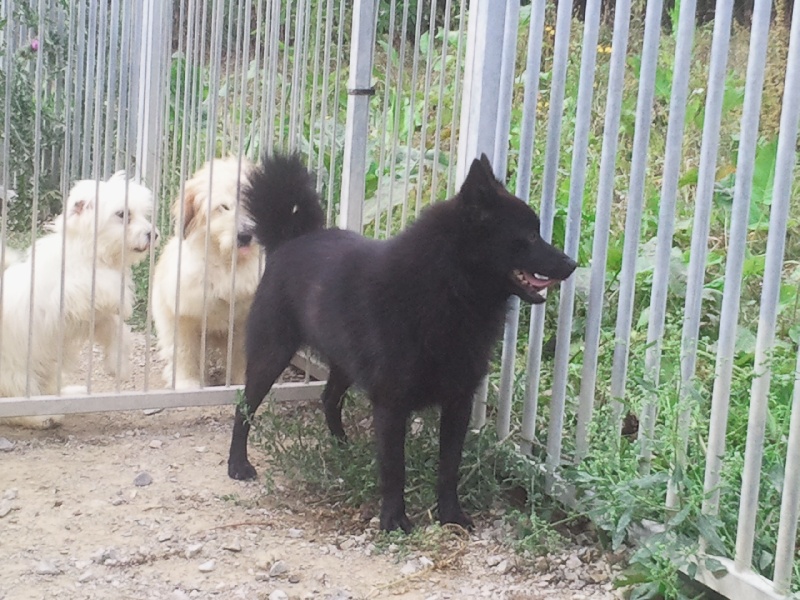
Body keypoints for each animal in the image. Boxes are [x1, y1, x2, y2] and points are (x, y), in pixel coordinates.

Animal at [0, 172, 158, 429]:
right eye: (122, 214)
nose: (152, 234)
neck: (89, 254)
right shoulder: (70, 296)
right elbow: (107, 284)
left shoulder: (92, 317)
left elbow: (118, 331)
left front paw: (118, 365)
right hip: (16, 372)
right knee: (16, 400)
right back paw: (42, 418)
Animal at [152, 157, 261, 389]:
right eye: (224, 207)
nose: (245, 235)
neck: (227, 265)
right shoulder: (184, 316)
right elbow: (185, 352)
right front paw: (187, 383)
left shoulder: (244, 321)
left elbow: (241, 356)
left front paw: (241, 382)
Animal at [226, 153, 577, 532]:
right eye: (529, 235)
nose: (572, 264)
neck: (448, 286)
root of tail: (291, 239)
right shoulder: (391, 404)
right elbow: (395, 468)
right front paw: (394, 519)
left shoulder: (458, 402)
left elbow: (449, 467)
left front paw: (450, 515)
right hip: (272, 353)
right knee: (244, 407)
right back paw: (237, 464)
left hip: (344, 362)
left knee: (329, 397)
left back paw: (343, 447)